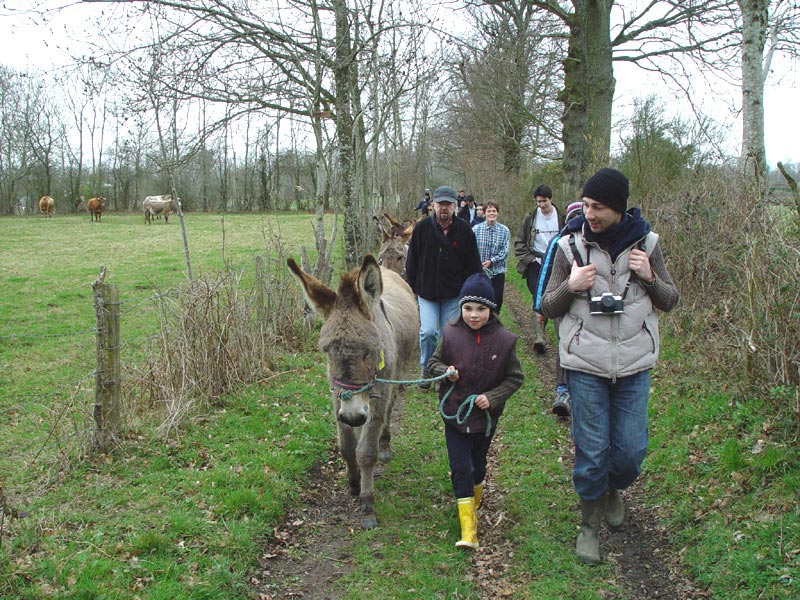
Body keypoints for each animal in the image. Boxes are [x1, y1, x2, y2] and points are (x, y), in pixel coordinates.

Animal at [287, 254, 419, 529]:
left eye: (368, 351)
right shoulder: (337, 398)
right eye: (327, 352)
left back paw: (385, 442)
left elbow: (366, 452)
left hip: (394, 379)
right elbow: (347, 448)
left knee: (388, 413)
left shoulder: (376, 397)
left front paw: (367, 504)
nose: (353, 415)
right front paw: (354, 484)